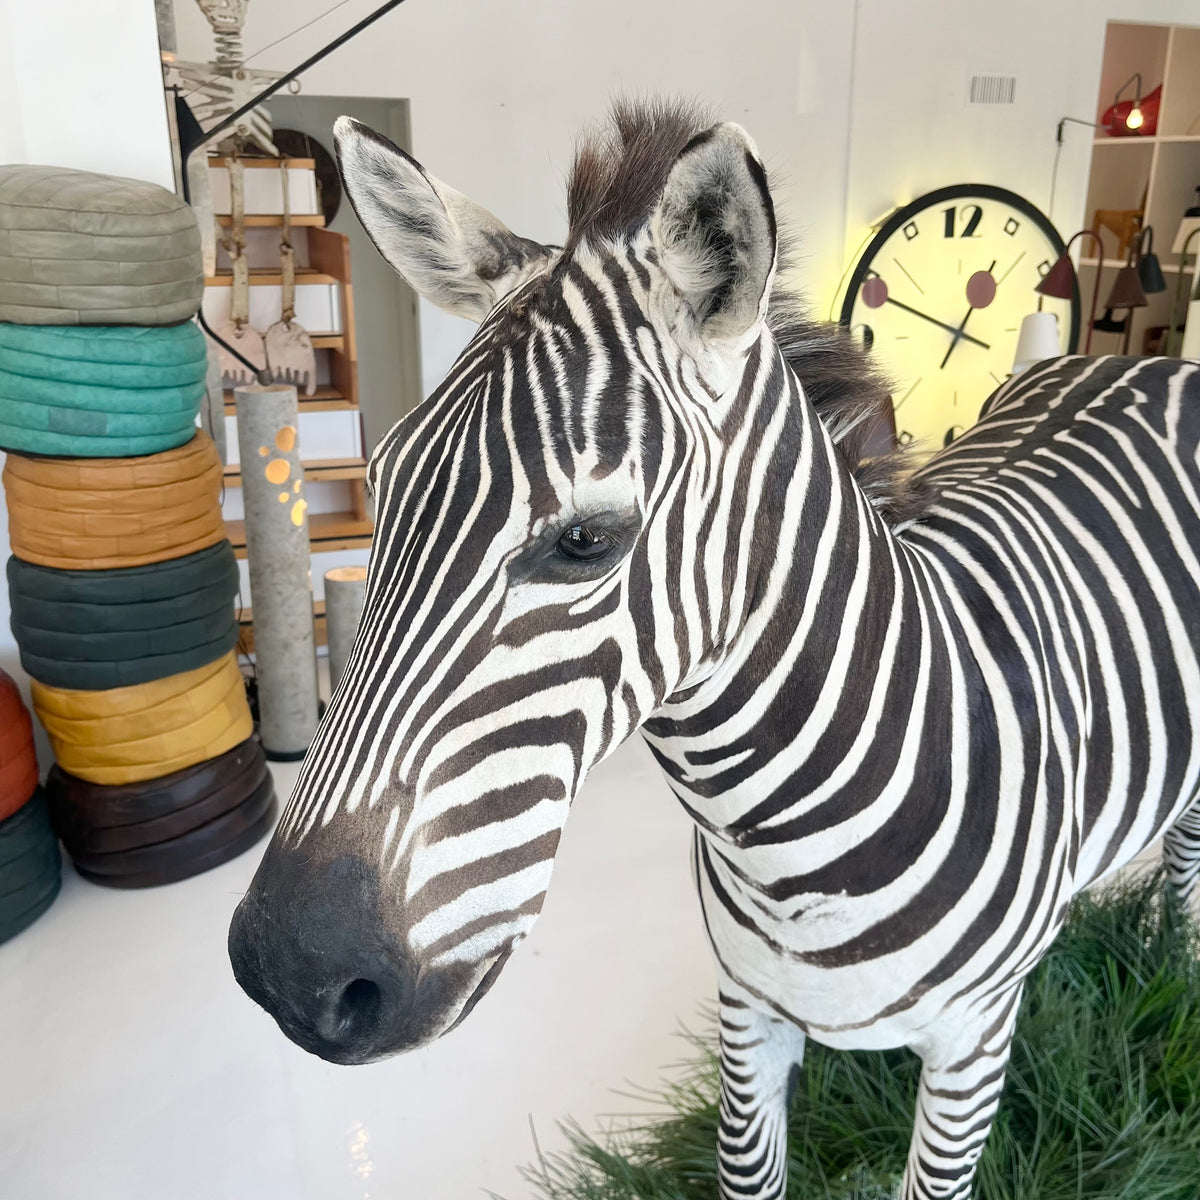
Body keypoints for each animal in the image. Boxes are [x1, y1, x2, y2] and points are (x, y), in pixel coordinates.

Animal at [228, 99, 1200, 1200]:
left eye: (584, 543)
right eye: (382, 491)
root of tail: (1140, 359)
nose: (285, 974)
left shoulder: (972, 1053)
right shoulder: (747, 1016)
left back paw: (1172, 974)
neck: (790, 848)